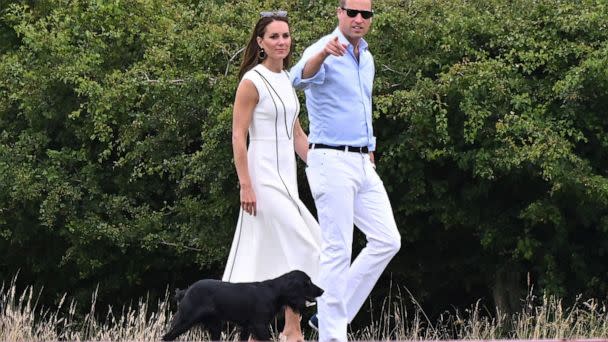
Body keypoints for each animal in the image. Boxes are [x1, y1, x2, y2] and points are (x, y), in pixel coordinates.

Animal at [162, 272, 324, 340]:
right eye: (307, 282)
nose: (322, 290)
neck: (274, 291)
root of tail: (187, 291)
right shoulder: (259, 325)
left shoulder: (247, 327)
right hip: (185, 320)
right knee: (166, 337)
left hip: (215, 326)